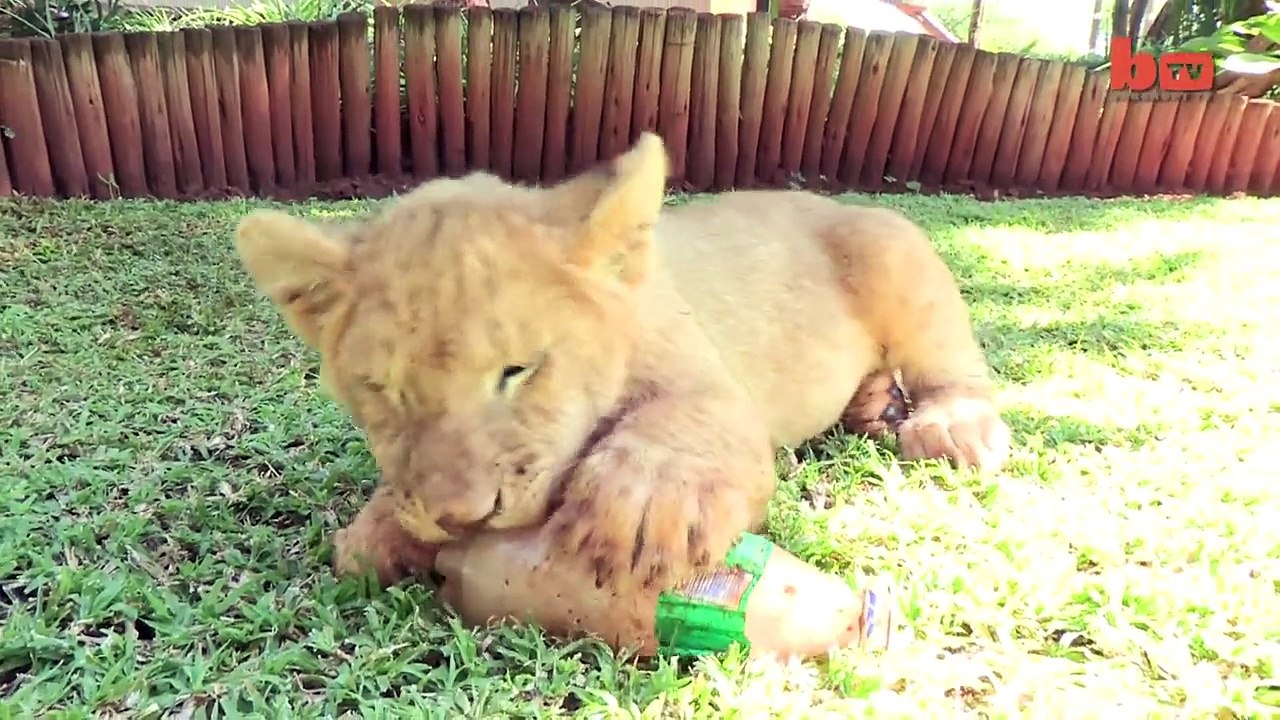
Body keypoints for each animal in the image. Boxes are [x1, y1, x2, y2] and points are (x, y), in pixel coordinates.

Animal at [234, 132, 1011, 595]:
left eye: (518, 371)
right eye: (383, 390)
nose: (462, 518)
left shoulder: (714, 383)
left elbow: (688, 419)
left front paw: (645, 505)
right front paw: (378, 531)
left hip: (894, 246)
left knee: (950, 359)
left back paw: (951, 424)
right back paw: (873, 404)